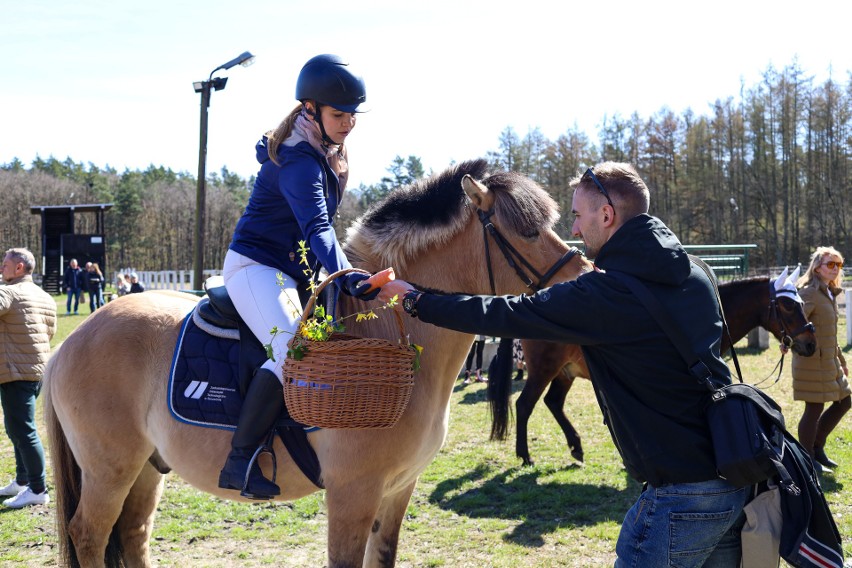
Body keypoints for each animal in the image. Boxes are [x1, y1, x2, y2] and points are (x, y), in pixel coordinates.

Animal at [41, 160, 592, 568]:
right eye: (527, 232)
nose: (586, 276)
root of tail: (74, 340)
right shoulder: (353, 495)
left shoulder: (397, 491)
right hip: (109, 470)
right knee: (89, 535)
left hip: (145, 468)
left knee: (131, 535)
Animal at [492, 276, 820, 466]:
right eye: (787, 306)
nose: (810, 343)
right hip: (543, 370)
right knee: (524, 405)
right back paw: (525, 455)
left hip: (564, 372)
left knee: (553, 403)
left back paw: (576, 447)